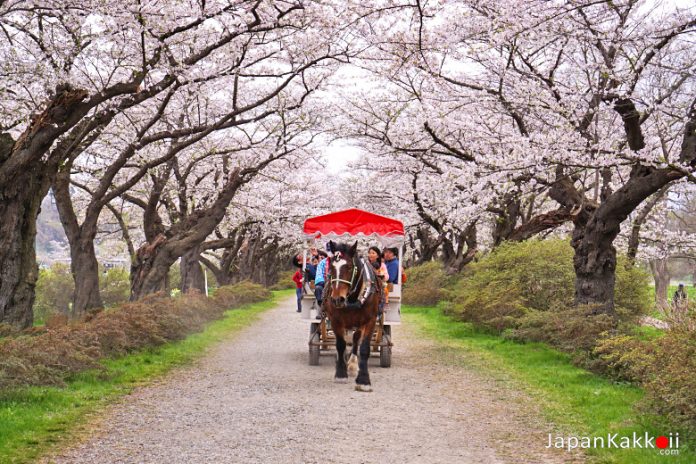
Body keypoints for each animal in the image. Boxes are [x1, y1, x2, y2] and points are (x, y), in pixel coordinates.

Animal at [320, 239, 380, 392]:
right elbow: (340, 345)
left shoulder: (370, 320)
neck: (352, 298)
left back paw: (352, 364)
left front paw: (364, 380)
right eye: (331, 268)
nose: (337, 299)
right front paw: (340, 374)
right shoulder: (335, 320)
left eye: (348, 267)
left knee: (355, 339)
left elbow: (364, 348)